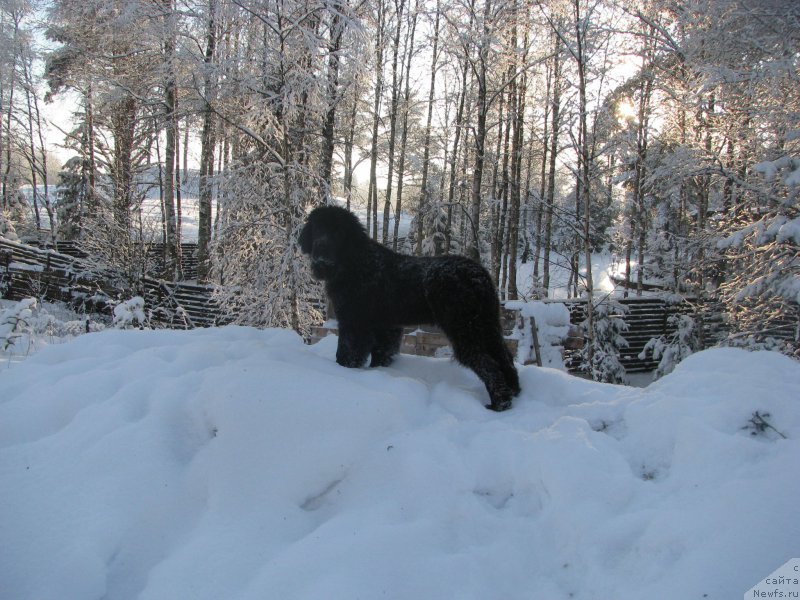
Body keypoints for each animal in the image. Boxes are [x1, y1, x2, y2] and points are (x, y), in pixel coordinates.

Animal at [298, 204, 520, 410]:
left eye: (338, 231)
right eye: (317, 228)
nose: (321, 251)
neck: (354, 263)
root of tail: (478, 275)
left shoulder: (355, 323)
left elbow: (347, 353)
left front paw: (343, 371)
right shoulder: (386, 326)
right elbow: (381, 353)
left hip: (464, 328)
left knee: (488, 364)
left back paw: (499, 404)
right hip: (486, 325)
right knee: (503, 357)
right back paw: (515, 391)